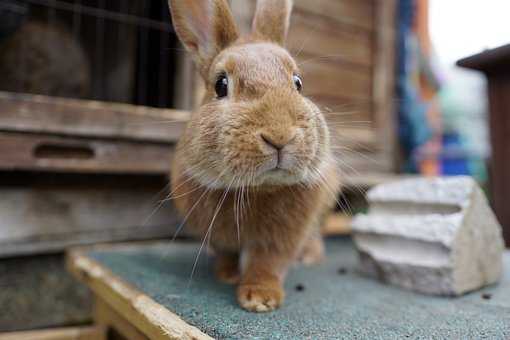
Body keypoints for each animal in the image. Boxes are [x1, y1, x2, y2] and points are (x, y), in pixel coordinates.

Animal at [167, 0, 340, 312]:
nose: (279, 136)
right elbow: (226, 253)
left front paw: (260, 298)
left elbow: (267, 263)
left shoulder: (279, 239)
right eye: (221, 85)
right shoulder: (218, 236)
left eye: (298, 82)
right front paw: (226, 275)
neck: (257, 188)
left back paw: (310, 256)